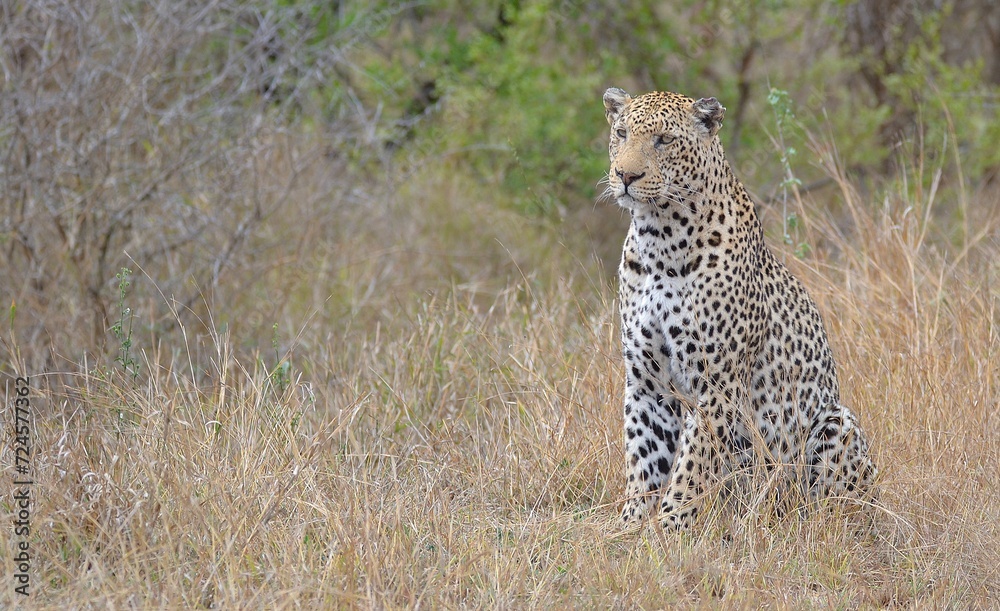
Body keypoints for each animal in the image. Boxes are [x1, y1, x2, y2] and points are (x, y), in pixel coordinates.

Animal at [602, 87, 877, 530]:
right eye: (622, 133)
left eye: (664, 140)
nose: (625, 177)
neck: (658, 236)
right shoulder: (647, 382)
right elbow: (644, 460)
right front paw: (631, 526)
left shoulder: (717, 385)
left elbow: (693, 464)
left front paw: (670, 527)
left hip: (836, 421)